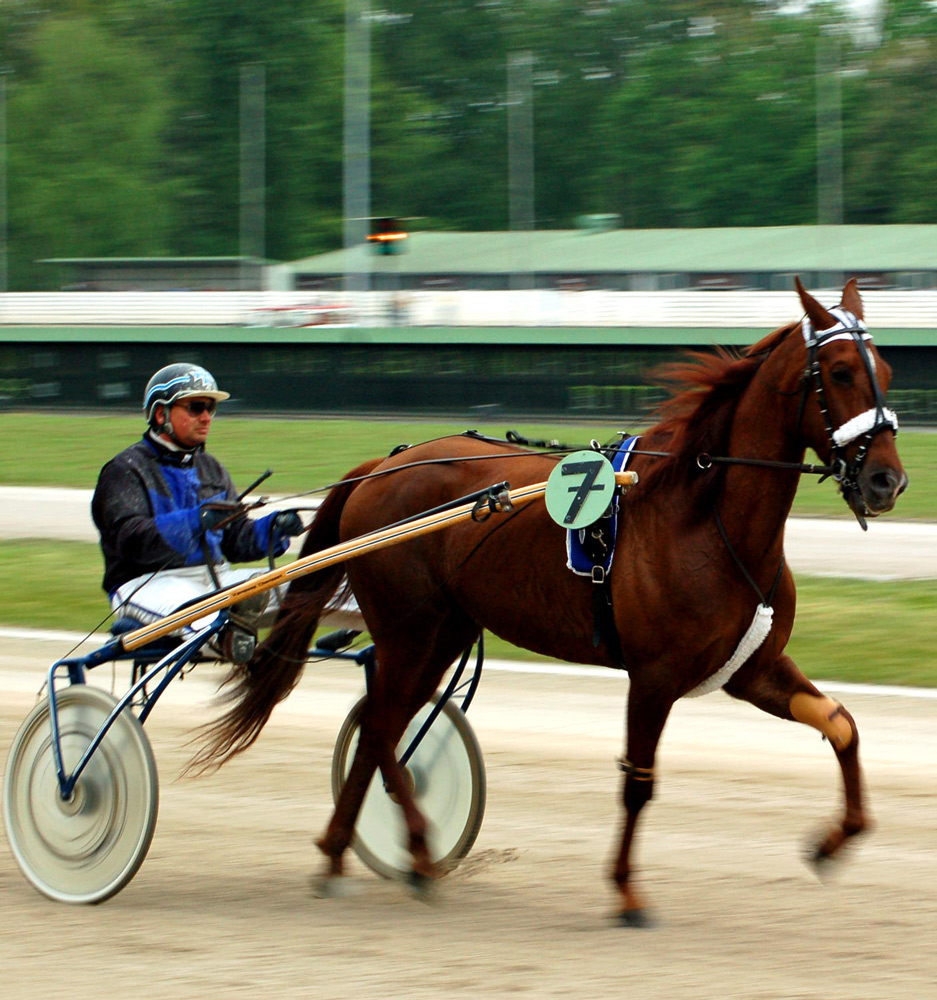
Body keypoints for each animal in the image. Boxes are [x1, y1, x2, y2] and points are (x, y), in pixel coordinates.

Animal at [192, 278, 908, 924]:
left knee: (379, 730)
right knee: (381, 729)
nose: (887, 480)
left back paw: (353, 854)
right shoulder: (653, 677)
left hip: (443, 633)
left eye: (887, 371)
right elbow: (638, 782)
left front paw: (832, 842)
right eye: (840, 371)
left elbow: (842, 725)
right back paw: (410, 852)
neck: (705, 520)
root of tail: (380, 468)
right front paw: (626, 892)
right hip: (409, 631)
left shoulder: (750, 667)